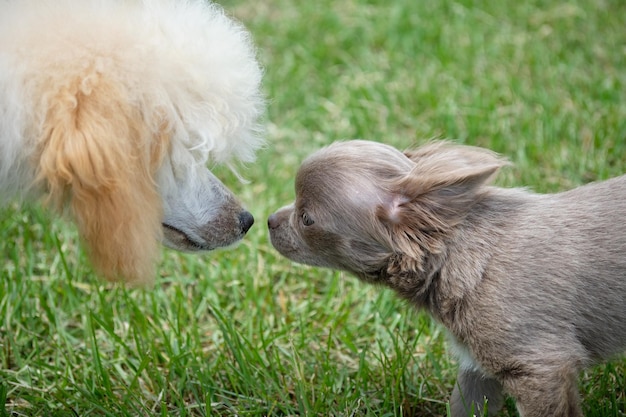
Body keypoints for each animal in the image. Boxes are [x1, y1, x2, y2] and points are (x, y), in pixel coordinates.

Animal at [266, 141, 624, 416]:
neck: (457, 252)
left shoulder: (539, 369)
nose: (269, 220)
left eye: (306, 218)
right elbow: (464, 408)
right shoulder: (476, 370)